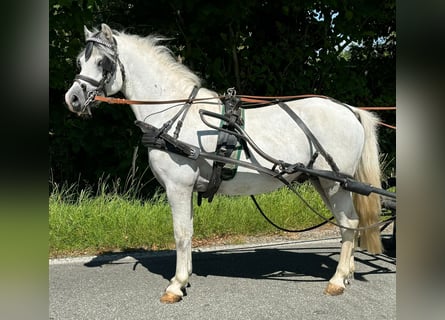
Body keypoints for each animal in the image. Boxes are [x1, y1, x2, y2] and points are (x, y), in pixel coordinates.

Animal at [65, 23, 382, 304]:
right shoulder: (187, 188)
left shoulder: (178, 187)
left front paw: (175, 285)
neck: (173, 111)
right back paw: (347, 272)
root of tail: (350, 109)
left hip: (333, 183)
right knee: (348, 224)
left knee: (349, 224)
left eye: (103, 62)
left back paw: (337, 280)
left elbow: (181, 234)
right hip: (324, 182)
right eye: (80, 61)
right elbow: (189, 231)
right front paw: (185, 278)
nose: (73, 98)